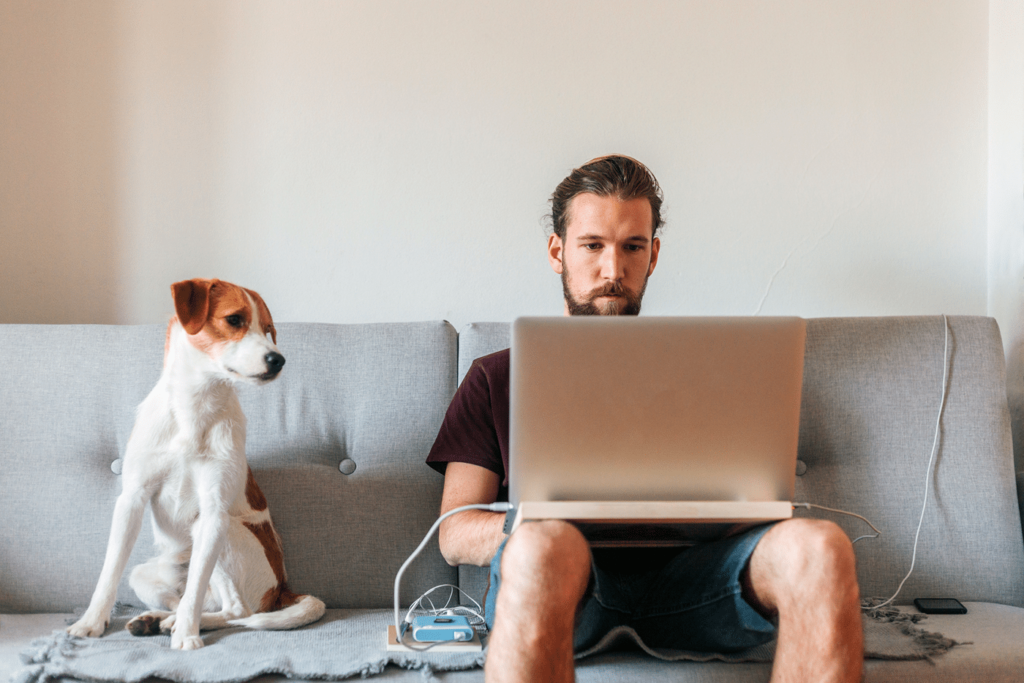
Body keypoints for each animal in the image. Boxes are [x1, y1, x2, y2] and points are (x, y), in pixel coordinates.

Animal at [67, 274, 323, 651]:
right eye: (234, 319)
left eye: (268, 329)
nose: (278, 359)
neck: (195, 407)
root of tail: (282, 589)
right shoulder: (132, 499)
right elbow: (109, 572)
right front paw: (90, 622)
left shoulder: (213, 512)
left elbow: (197, 591)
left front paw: (187, 636)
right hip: (145, 574)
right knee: (190, 598)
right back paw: (155, 620)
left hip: (224, 534)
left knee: (234, 609)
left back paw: (180, 624)